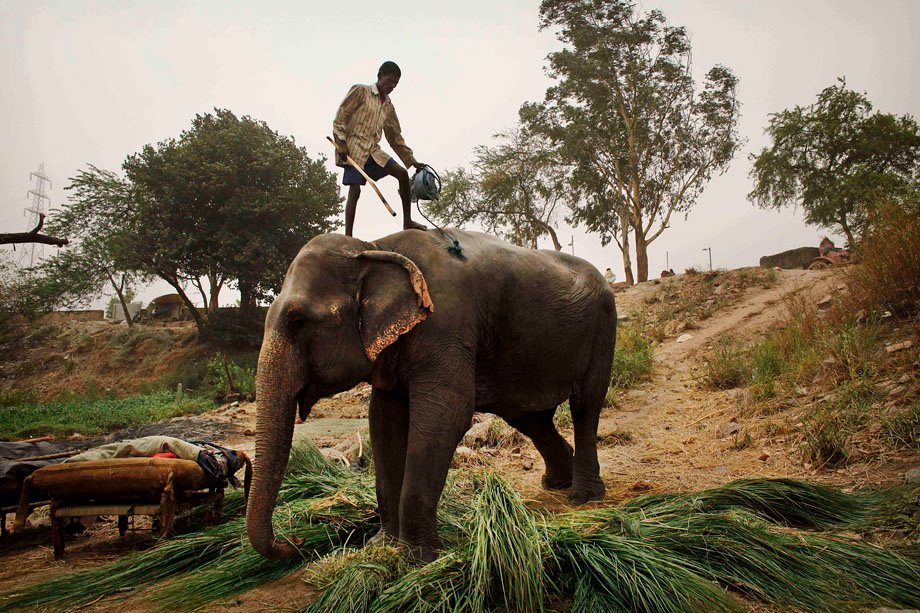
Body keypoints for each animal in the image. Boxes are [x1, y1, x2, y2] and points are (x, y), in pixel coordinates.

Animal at [244, 227, 620, 560]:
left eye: (298, 321)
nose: (294, 541)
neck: (373, 247)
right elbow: (383, 421)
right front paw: (382, 547)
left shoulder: (446, 326)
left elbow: (446, 414)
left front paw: (415, 558)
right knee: (529, 417)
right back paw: (557, 483)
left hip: (604, 327)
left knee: (585, 405)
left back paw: (582, 497)